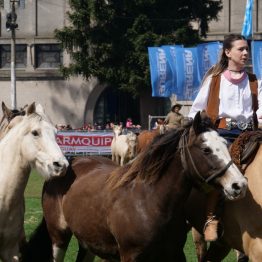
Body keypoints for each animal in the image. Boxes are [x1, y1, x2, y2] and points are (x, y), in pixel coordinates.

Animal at [22, 111, 248, 260]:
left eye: (226, 144)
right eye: (206, 149)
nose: (239, 185)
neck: (150, 200)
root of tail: (68, 164)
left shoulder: (174, 254)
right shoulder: (130, 255)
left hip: (88, 243)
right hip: (58, 237)